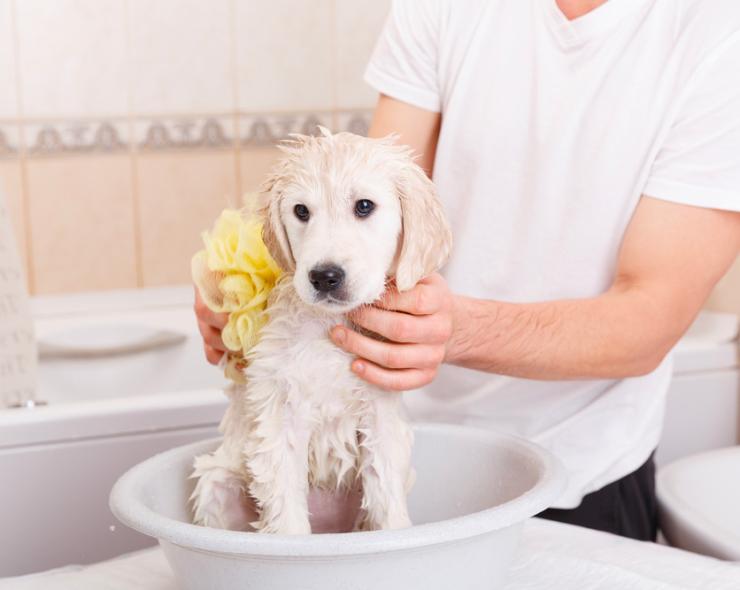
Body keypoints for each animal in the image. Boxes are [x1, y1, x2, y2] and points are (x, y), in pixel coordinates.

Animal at [191, 130, 450, 536]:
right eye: (301, 211)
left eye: (364, 206)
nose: (325, 276)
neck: (330, 326)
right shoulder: (279, 416)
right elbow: (286, 513)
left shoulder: (380, 416)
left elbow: (388, 501)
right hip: (218, 483)